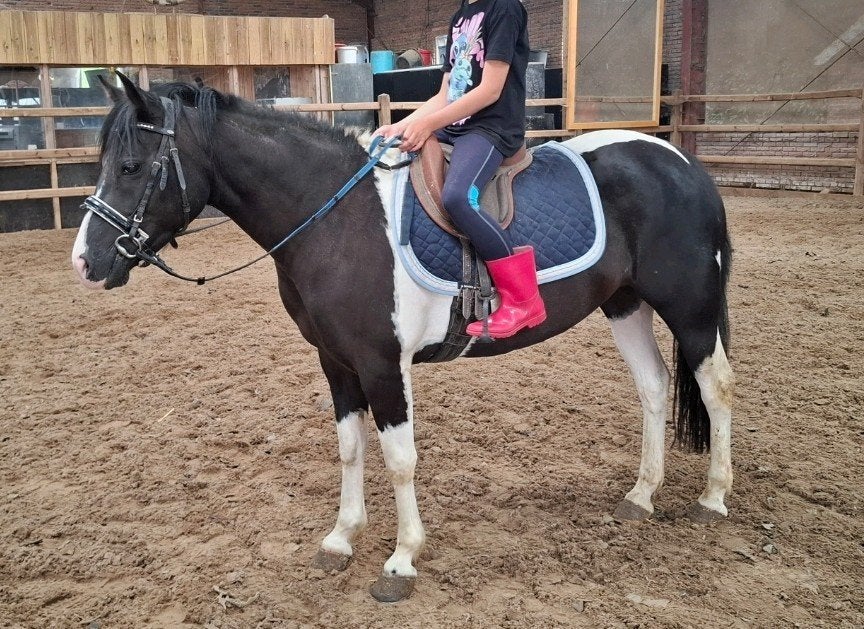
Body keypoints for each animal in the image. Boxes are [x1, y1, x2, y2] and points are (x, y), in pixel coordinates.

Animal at [71, 74, 733, 602]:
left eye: (130, 167)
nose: (85, 261)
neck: (335, 217)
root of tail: (682, 164)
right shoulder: (336, 362)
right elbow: (350, 448)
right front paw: (341, 538)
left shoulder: (383, 364)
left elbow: (399, 458)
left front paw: (401, 559)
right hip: (625, 305)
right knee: (654, 387)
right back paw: (641, 496)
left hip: (692, 310)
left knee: (717, 389)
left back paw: (713, 500)